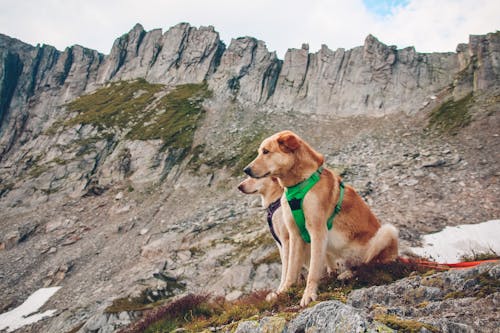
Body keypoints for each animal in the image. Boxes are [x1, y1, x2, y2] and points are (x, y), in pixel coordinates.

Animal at [242, 130, 398, 306]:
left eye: (266, 151)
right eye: (259, 152)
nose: (246, 169)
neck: (297, 186)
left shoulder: (316, 230)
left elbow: (313, 269)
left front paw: (308, 294)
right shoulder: (294, 235)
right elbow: (291, 269)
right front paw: (282, 292)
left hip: (387, 232)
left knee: (372, 264)